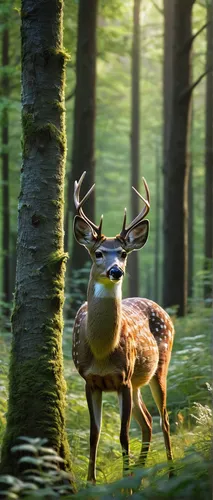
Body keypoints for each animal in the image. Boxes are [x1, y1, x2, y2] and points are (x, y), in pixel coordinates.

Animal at [71, 173, 175, 484]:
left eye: (124, 253)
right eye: (98, 253)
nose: (116, 270)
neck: (102, 353)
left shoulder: (124, 379)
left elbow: (122, 435)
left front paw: (125, 484)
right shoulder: (89, 380)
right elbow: (94, 435)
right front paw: (91, 482)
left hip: (158, 368)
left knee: (164, 419)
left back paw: (170, 473)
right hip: (139, 381)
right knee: (149, 421)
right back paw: (141, 472)